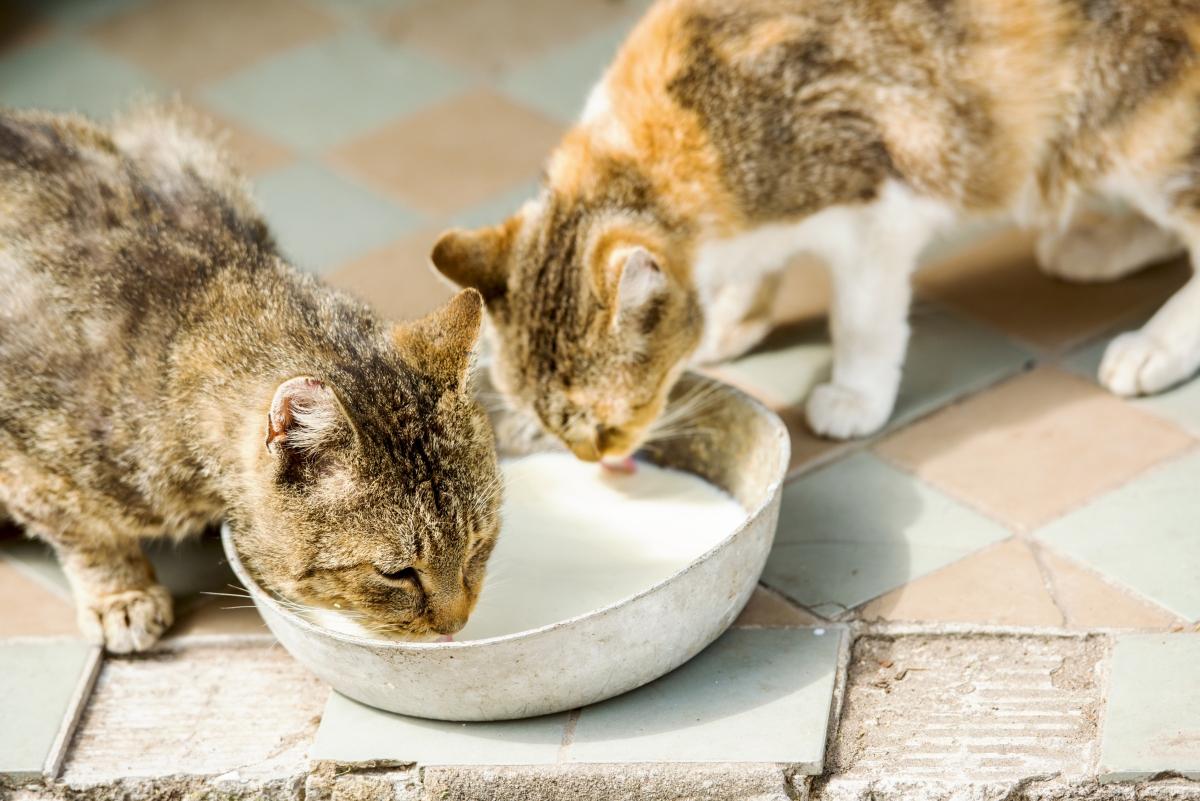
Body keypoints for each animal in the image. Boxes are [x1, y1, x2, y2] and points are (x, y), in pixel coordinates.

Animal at [0, 104, 496, 652]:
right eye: (397, 574)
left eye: (479, 542)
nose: (455, 626)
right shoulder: (29, 463)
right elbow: (86, 533)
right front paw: (120, 593)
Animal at [432, 0, 1200, 453]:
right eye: (548, 424)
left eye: (608, 421)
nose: (599, 460)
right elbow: (750, 271)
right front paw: (730, 320)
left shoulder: (878, 209)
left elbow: (862, 320)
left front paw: (854, 394)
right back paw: (1095, 247)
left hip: (1130, 126)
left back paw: (1153, 344)